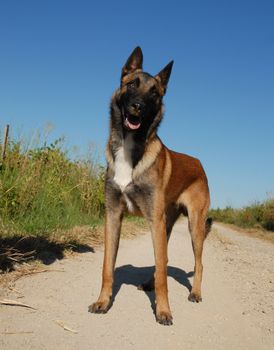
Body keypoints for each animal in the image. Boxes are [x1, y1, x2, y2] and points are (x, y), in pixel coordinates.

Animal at [89, 46, 211, 326]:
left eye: (154, 93)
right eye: (132, 83)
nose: (138, 107)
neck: (130, 148)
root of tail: (199, 163)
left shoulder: (153, 220)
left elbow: (164, 273)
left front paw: (164, 311)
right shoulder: (113, 215)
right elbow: (107, 266)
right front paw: (103, 302)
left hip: (194, 226)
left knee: (196, 263)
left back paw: (196, 292)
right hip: (165, 225)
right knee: (162, 262)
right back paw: (148, 283)